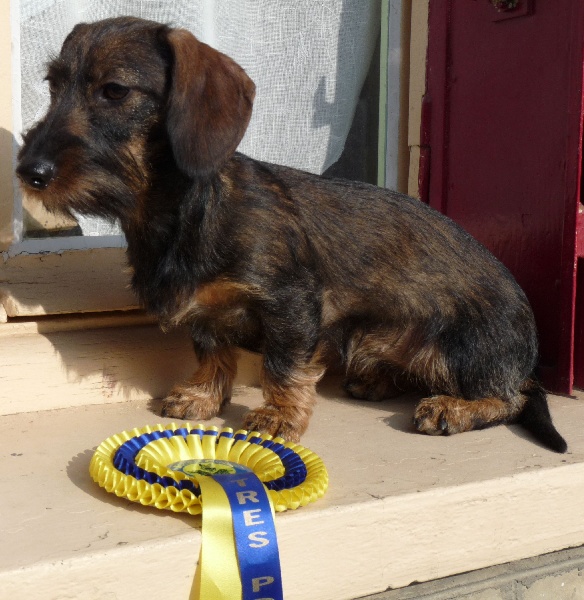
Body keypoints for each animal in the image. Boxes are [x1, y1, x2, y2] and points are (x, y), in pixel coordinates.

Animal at [17, 15, 564, 450]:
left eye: (114, 90)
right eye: (51, 85)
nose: (28, 171)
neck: (179, 212)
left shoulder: (291, 303)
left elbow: (282, 365)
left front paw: (278, 416)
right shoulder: (207, 313)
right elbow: (213, 354)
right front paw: (201, 396)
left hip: (460, 348)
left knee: (512, 397)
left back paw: (454, 407)